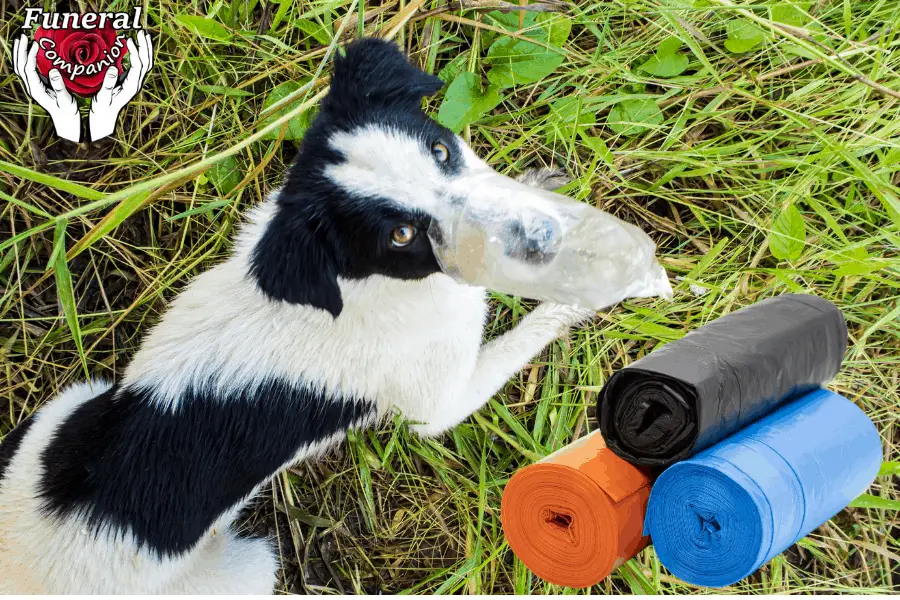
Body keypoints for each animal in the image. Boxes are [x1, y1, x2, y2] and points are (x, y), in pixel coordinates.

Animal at [1, 38, 596, 596]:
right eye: (401, 235)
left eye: (441, 149)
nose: (535, 235)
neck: (362, 283)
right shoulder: (438, 405)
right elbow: (519, 338)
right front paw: (575, 301)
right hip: (251, 565)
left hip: (67, 408)